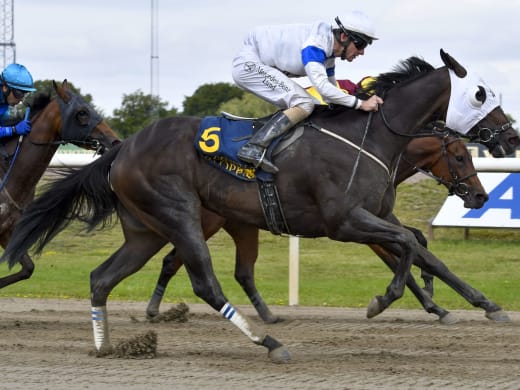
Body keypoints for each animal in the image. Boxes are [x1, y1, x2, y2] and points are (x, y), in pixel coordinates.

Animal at [145, 126, 488, 324]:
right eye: (460, 157)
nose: (480, 195)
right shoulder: (358, 225)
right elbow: (409, 250)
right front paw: (428, 302)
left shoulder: (377, 220)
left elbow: (418, 246)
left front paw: (446, 301)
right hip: (204, 224)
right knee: (172, 260)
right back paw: (153, 309)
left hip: (240, 226)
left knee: (240, 271)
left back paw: (267, 315)